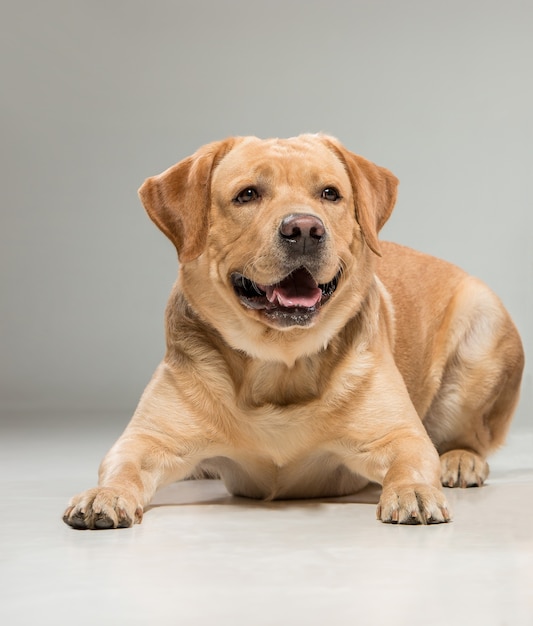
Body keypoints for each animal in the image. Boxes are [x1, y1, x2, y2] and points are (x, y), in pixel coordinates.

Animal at [63, 133, 524, 528]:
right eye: (247, 194)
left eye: (330, 193)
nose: (304, 228)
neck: (278, 363)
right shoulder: (145, 439)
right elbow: (122, 466)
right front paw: (104, 494)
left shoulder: (400, 435)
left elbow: (411, 460)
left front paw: (412, 490)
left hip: (480, 330)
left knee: (470, 436)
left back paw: (460, 460)